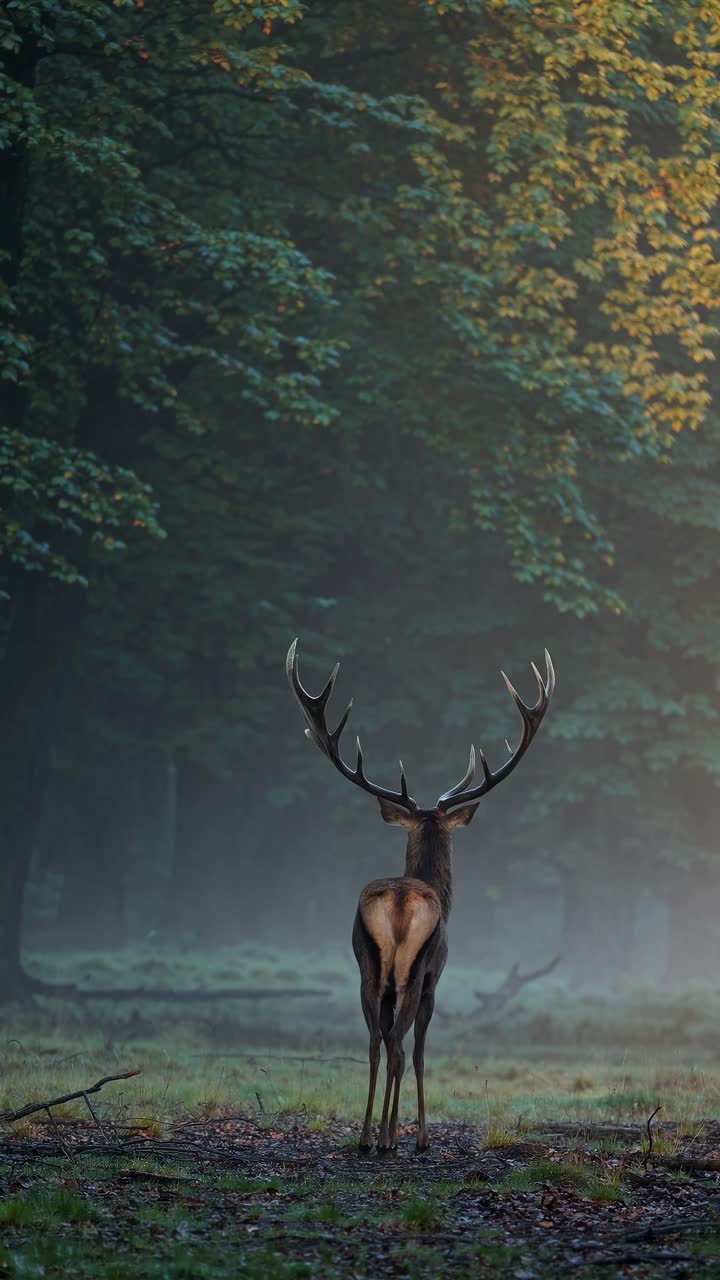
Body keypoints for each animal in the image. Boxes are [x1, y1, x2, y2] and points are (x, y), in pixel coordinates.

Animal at [286, 639, 555, 1153]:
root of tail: (396, 904)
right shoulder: (436, 977)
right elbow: (421, 1053)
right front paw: (419, 1134)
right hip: (414, 969)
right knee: (397, 1043)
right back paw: (391, 1139)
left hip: (368, 966)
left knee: (375, 1039)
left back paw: (366, 1136)